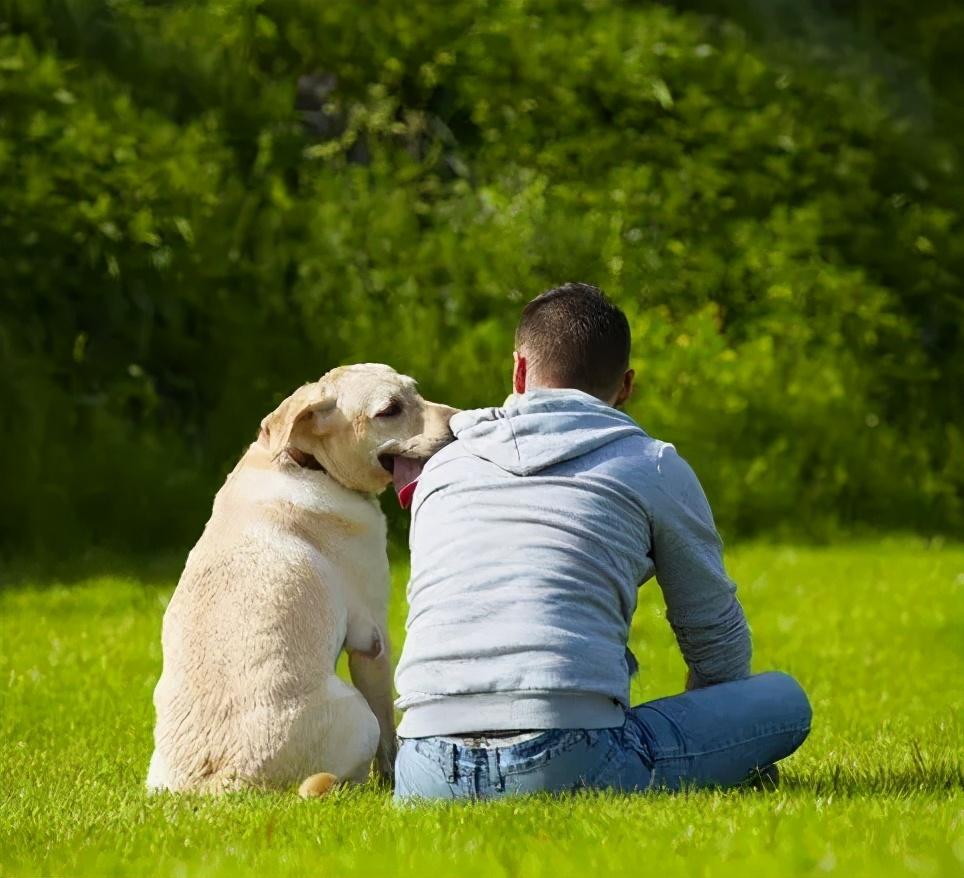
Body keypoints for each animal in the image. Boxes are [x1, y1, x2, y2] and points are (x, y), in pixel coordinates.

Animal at [147, 364, 456, 796]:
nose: (461, 421)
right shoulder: (372, 640)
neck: (306, 462)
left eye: (416, 392)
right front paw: (394, 777)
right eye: (390, 410)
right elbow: (389, 733)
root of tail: (222, 782)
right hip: (358, 714)